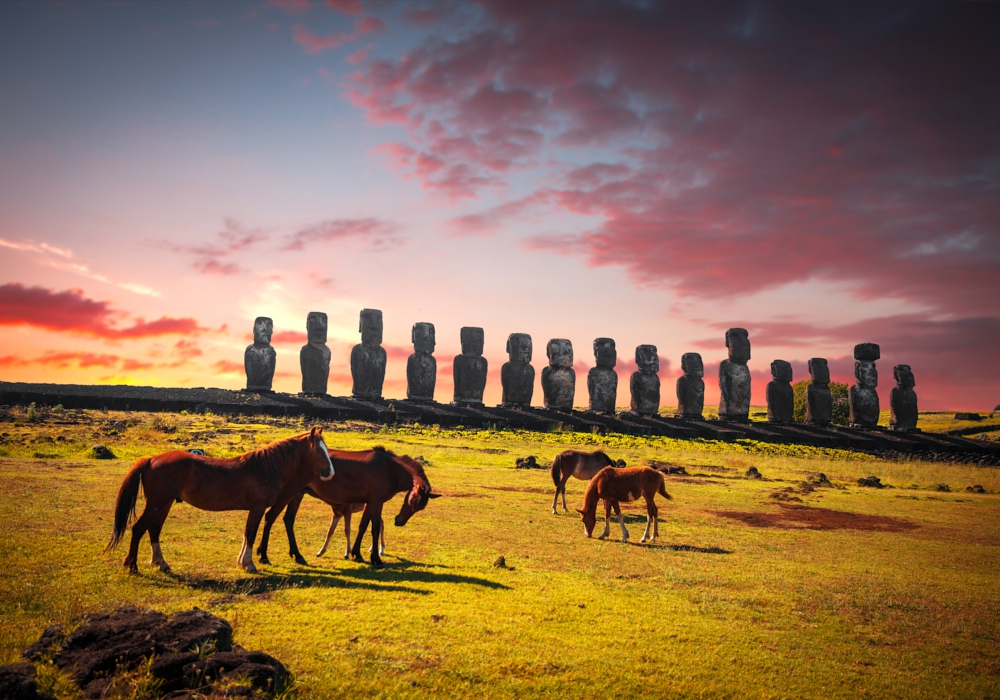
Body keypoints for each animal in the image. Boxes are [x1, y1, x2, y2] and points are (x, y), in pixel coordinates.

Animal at [105, 426, 334, 576]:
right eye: (318, 449)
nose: (330, 473)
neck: (265, 468)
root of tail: (152, 459)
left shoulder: (254, 510)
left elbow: (246, 534)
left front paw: (242, 562)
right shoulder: (258, 508)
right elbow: (251, 534)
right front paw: (249, 564)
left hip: (164, 504)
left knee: (154, 530)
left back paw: (161, 563)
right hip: (156, 504)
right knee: (138, 528)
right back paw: (132, 565)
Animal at [258, 448, 438, 568]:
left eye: (420, 507)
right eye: (412, 499)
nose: (399, 521)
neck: (389, 468)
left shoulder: (370, 503)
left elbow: (362, 526)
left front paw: (356, 553)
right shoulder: (376, 501)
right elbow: (374, 528)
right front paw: (375, 559)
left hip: (297, 494)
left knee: (288, 519)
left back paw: (297, 555)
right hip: (289, 493)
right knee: (270, 517)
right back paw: (264, 556)